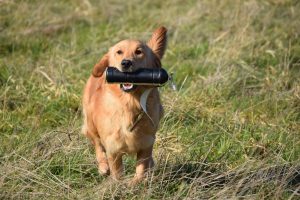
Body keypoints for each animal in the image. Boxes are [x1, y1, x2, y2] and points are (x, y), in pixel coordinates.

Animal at [81, 26, 166, 184]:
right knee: (97, 143)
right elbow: (117, 172)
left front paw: (135, 183)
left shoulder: (146, 143)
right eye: (119, 52)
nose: (126, 63)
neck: (129, 103)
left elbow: (141, 169)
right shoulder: (113, 147)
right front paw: (118, 184)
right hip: (90, 122)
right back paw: (103, 166)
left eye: (138, 51)